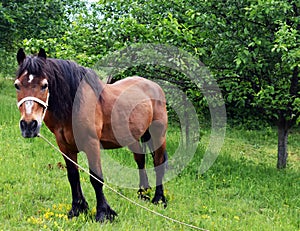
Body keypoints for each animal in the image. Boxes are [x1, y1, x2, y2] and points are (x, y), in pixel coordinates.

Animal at [14, 48, 169, 222]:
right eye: (17, 85)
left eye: (44, 85)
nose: (29, 125)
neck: (73, 105)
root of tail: (154, 86)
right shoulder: (64, 146)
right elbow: (73, 176)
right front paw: (77, 209)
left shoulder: (91, 144)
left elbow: (96, 178)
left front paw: (103, 213)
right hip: (133, 137)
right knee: (140, 161)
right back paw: (143, 193)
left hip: (158, 135)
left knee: (158, 162)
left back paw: (159, 199)